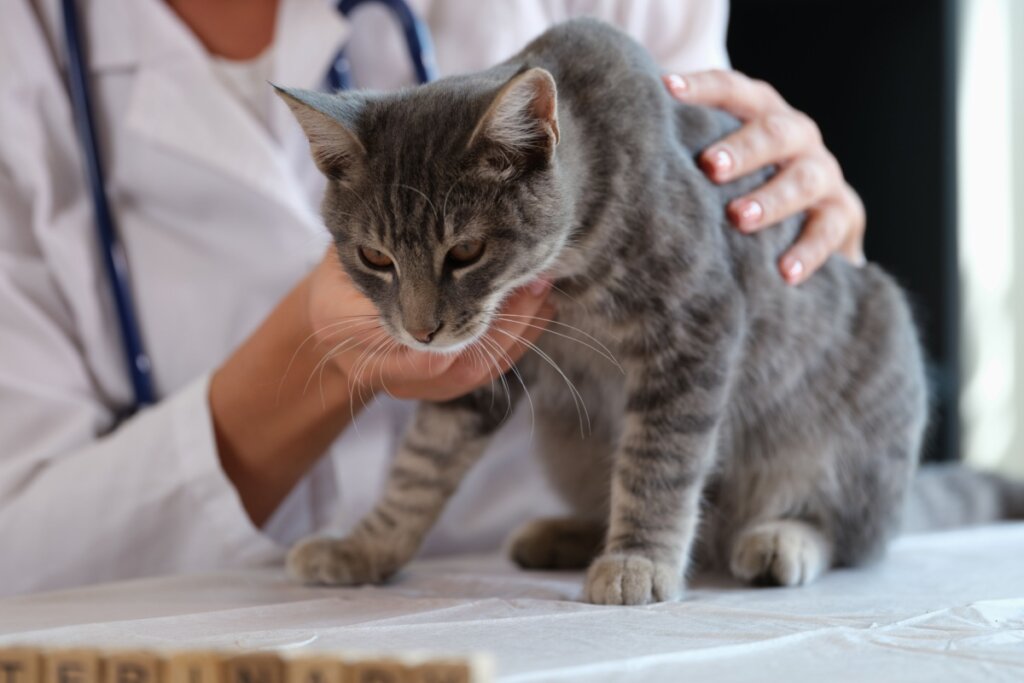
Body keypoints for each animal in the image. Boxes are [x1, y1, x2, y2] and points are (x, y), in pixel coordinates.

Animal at [276, 18, 1019, 606]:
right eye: (374, 257)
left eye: (465, 251)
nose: (420, 329)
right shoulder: (487, 364)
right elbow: (421, 465)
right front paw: (366, 547)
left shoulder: (696, 325)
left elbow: (659, 460)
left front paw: (639, 558)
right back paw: (566, 532)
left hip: (864, 408)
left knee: (854, 531)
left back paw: (782, 537)